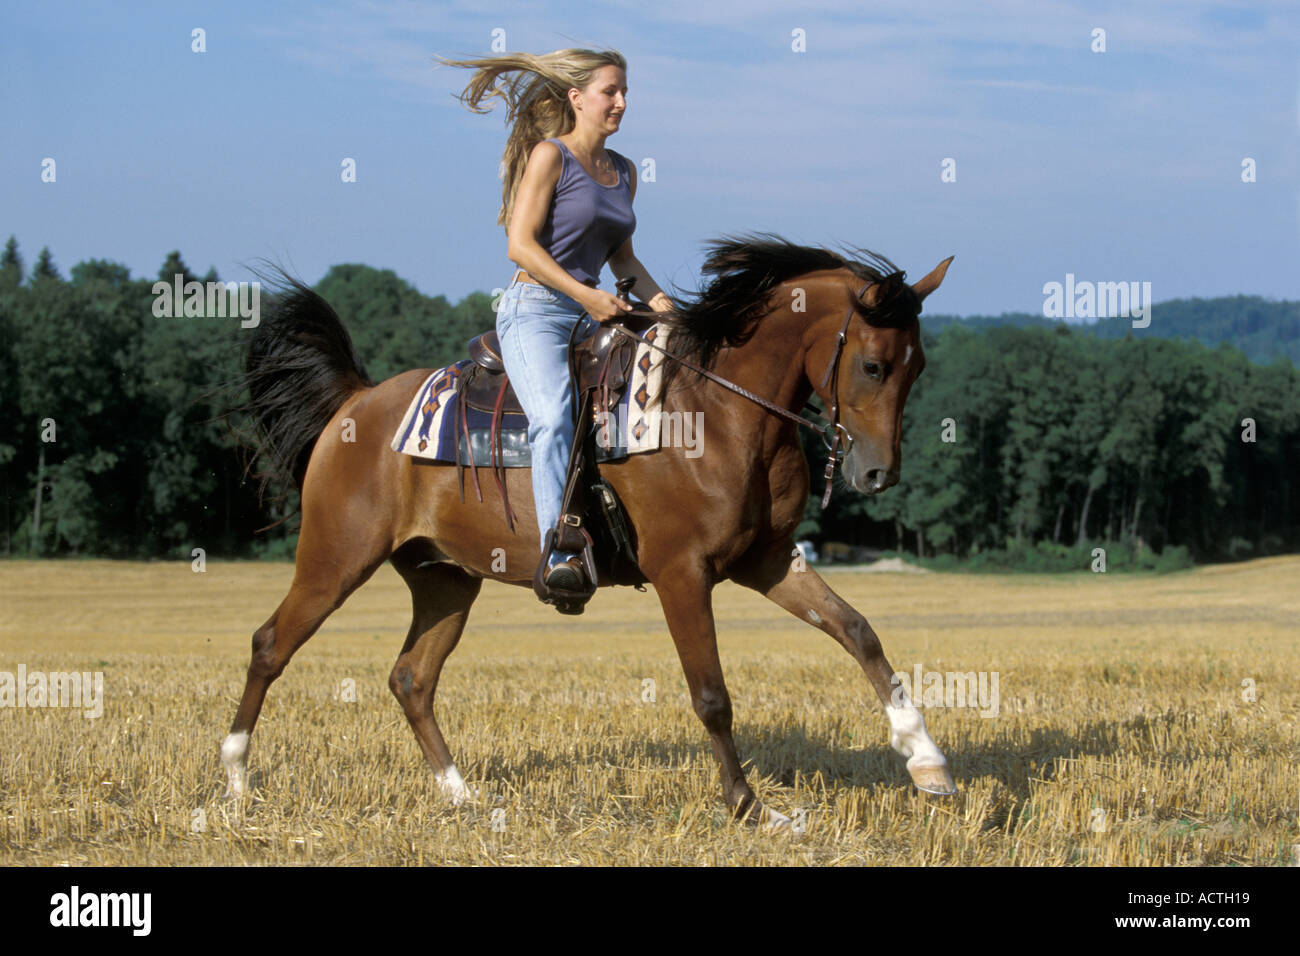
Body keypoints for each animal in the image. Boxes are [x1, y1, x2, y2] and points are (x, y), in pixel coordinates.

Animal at [223, 234, 956, 832]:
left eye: (918, 367)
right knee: (269, 646)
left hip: (445, 581)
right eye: (873, 366)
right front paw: (749, 807)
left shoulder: (767, 560)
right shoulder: (682, 573)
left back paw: (461, 795)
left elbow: (858, 631)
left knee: (411, 678)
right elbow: (712, 695)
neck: (715, 409)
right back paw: (234, 780)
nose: (878, 472)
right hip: (336, 560)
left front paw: (926, 759)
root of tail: (356, 400)